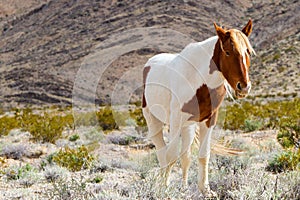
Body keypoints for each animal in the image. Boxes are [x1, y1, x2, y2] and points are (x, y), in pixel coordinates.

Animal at [142, 20, 254, 197]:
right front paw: (165, 190)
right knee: (162, 153)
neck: (198, 79)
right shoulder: (175, 120)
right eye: (228, 52)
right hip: (153, 120)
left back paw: (183, 188)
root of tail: (150, 63)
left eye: (248, 51)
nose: (243, 87)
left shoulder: (208, 120)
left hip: (188, 126)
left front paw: (205, 190)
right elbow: (171, 155)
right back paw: (161, 185)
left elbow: (202, 155)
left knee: (185, 157)